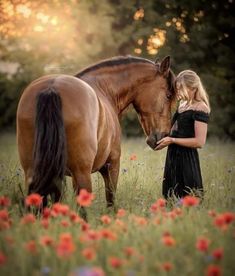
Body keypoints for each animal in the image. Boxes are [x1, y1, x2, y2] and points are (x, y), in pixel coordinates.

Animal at [16, 55, 174, 207]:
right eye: (168, 95)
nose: (164, 135)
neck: (104, 89)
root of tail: (52, 88)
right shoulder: (111, 165)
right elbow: (110, 199)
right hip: (81, 173)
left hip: (34, 172)